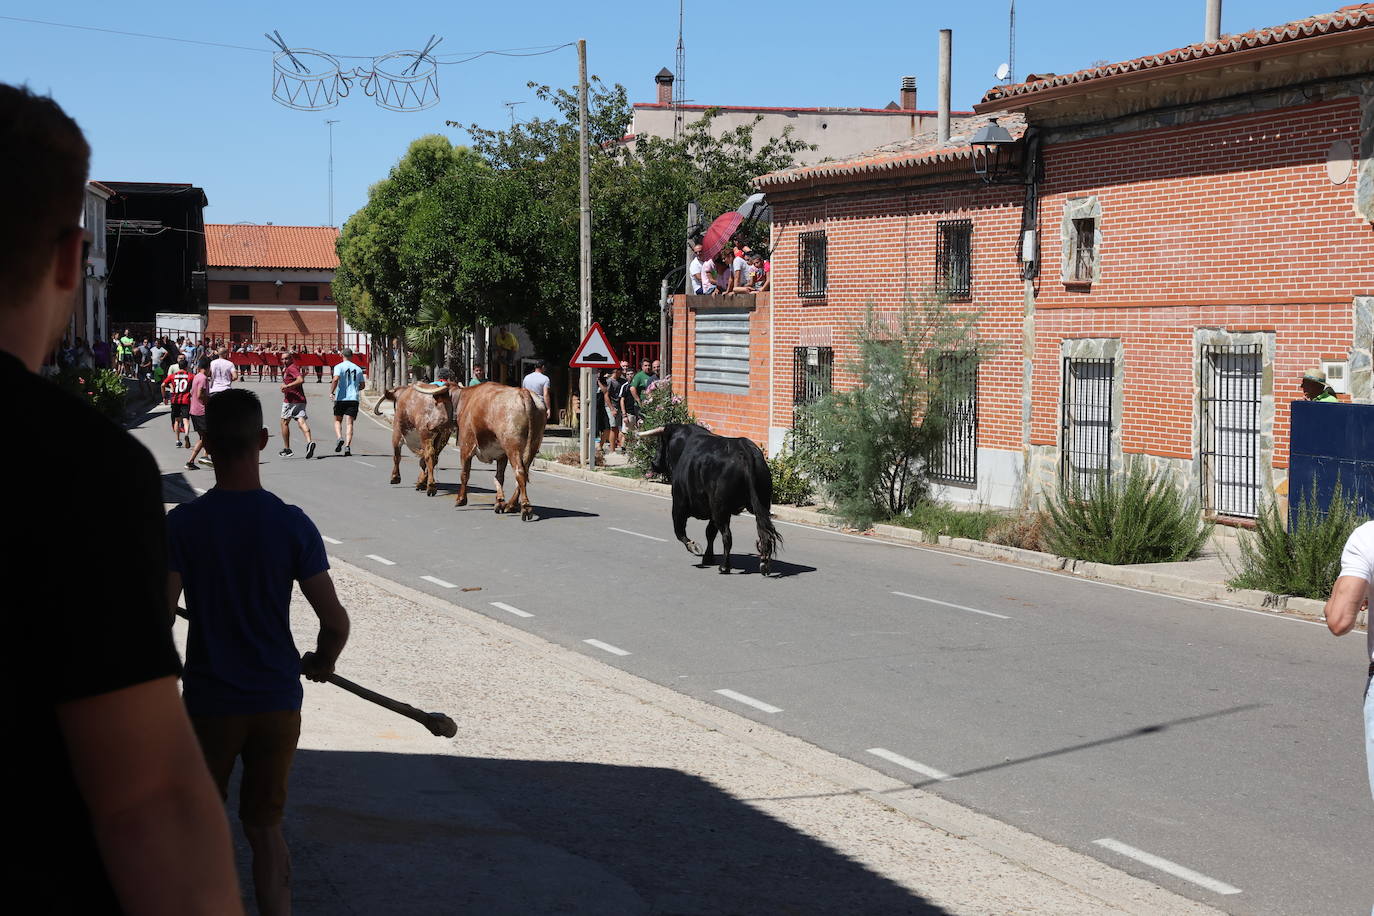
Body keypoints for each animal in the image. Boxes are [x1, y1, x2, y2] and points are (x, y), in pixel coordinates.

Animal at [456, 381, 552, 521]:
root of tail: (523, 392)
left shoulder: (466, 447)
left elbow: (464, 474)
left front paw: (461, 499)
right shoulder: (501, 456)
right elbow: (499, 477)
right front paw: (499, 501)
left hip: (512, 446)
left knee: (519, 472)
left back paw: (525, 508)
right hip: (533, 445)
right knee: (524, 473)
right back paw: (511, 505)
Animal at [637, 422, 780, 574]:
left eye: (661, 442)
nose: (654, 463)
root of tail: (744, 448)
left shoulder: (679, 503)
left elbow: (679, 531)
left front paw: (694, 547)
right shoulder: (712, 511)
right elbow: (710, 532)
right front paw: (708, 557)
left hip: (720, 509)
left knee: (727, 535)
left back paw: (724, 566)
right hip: (760, 504)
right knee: (762, 532)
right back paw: (764, 563)